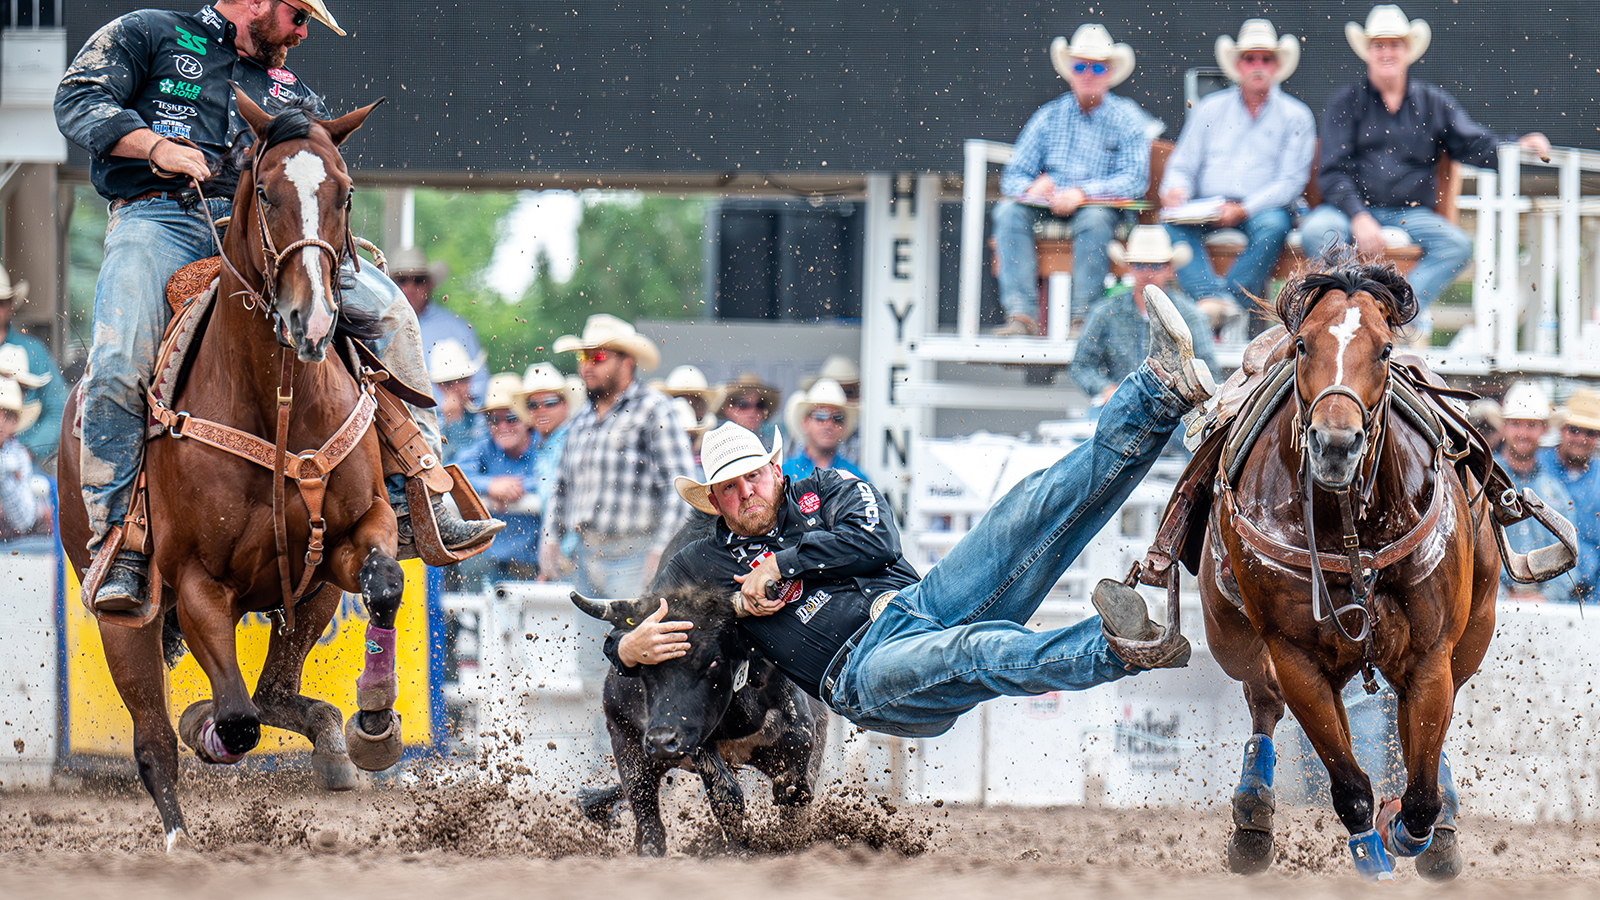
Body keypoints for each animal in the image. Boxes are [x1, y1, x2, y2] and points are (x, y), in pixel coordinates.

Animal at [56, 89, 406, 845]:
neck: (278, 405)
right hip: (123, 615)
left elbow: (387, 584)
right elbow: (237, 721)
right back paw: (181, 829)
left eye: (346, 192)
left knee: (275, 692)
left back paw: (333, 739)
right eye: (267, 192)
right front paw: (208, 726)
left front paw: (374, 720)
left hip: (309, 595)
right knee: (161, 742)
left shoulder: (356, 532)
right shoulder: (197, 585)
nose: (312, 318)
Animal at [1203, 262, 1504, 877]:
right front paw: (1373, 851)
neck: (1349, 526)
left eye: (1384, 349)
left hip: (1472, 634)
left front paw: (1417, 830)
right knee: (1263, 700)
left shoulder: (1431, 654)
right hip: (1230, 636)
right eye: (1302, 344)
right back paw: (1252, 818)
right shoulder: (1295, 657)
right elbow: (1350, 788)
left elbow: (1418, 795)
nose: (1336, 444)